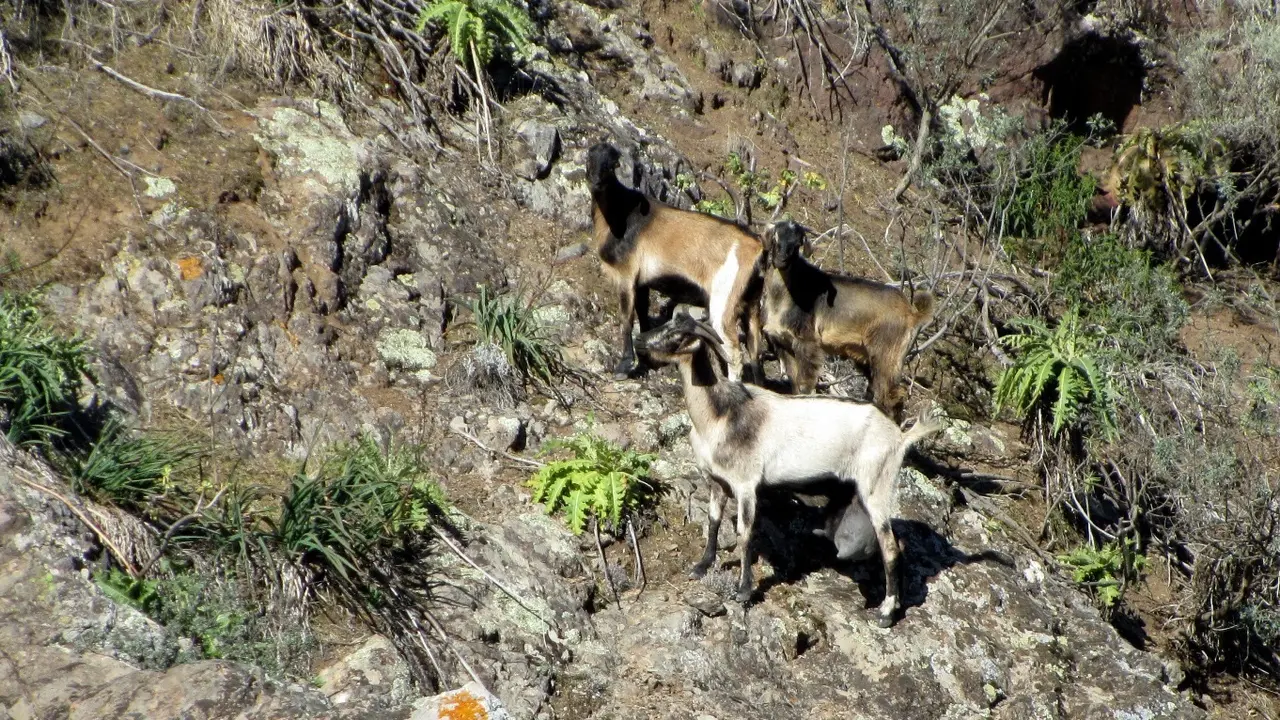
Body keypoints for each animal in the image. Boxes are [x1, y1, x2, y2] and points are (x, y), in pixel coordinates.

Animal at [586, 142, 763, 381]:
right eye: (589, 158)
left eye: (612, 164)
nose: (596, 182)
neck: (620, 215)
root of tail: (756, 247)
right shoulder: (642, 282)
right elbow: (642, 314)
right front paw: (645, 360)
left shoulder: (626, 275)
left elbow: (626, 318)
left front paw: (623, 367)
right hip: (751, 306)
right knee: (754, 352)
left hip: (723, 304)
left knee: (734, 353)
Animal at [638, 312, 943, 627]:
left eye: (678, 335)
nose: (639, 340)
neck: (720, 414)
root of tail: (901, 437)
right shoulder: (718, 481)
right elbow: (713, 521)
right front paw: (702, 566)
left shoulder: (746, 485)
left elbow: (744, 533)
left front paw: (744, 590)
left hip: (877, 485)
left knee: (890, 548)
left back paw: (885, 612)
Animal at [761, 220, 934, 420]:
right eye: (775, 237)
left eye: (797, 244)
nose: (781, 260)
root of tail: (911, 312)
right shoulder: (783, 344)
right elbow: (794, 383)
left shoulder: (807, 342)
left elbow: (804, 385)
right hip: (866, 356)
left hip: (887, 353)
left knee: (892, 395)